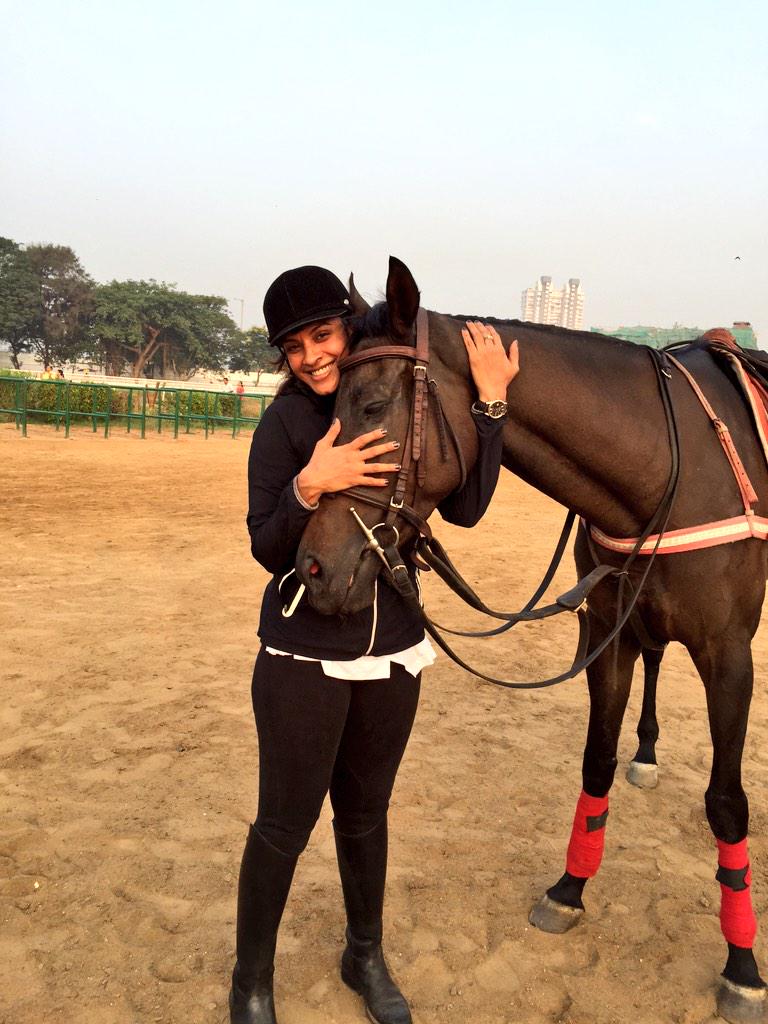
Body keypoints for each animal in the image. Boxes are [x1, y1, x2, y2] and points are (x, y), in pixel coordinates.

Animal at [296, 257, 768, 1023]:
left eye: (370, 406)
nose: (313, 566)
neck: (672, 464)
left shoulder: (729, 654)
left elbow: (727, 804)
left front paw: (743, 965)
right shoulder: (606, 631)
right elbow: (596, 761)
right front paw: (569, 890)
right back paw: (647, 752)